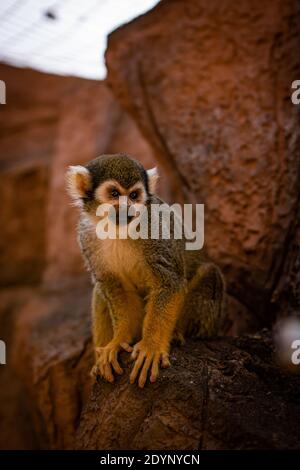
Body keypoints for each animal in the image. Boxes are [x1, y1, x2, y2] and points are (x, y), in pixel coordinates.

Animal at [67, 156, 224, 388]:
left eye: (134, 195)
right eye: (114, 194)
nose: (127, 207)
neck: (117, 228)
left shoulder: (153, 227)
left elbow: (169, 283)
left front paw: (151, 346)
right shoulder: (86, 235)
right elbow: (115, 287)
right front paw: (118, 341)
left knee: (210, 272)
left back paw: (177, 334)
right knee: (100, 289)